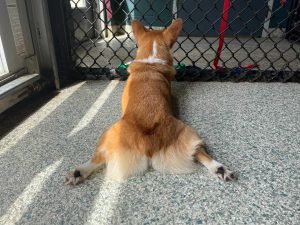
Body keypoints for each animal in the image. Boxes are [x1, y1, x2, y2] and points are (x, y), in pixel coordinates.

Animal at [65, 18, 234, 185]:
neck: (150, 62)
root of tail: (148, 145)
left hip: (107, 133)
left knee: (98, 158)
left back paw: (79, 171)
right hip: (188, 133)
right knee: (198, 151)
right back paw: (219, 168)